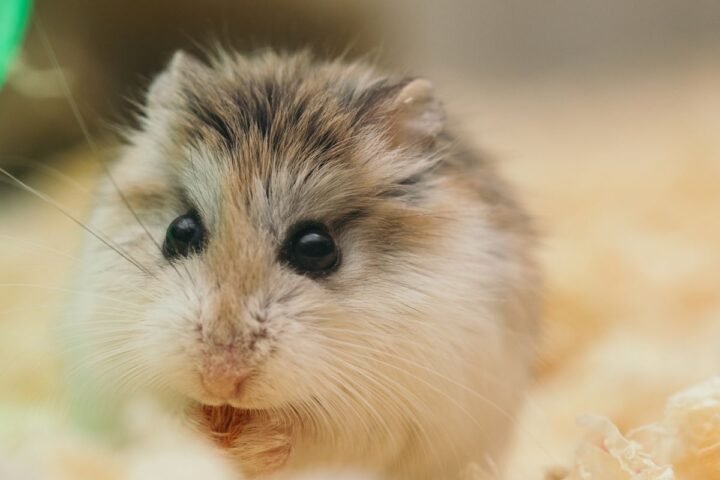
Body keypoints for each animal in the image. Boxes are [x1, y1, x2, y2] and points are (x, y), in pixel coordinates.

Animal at [65, 50, 540, 480]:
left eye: (316, 247)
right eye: (179, 231)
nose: (220, 380)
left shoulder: (388, 413)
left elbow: (309, 436)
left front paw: (251, 446)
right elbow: (155, 417)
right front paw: (203, 434)